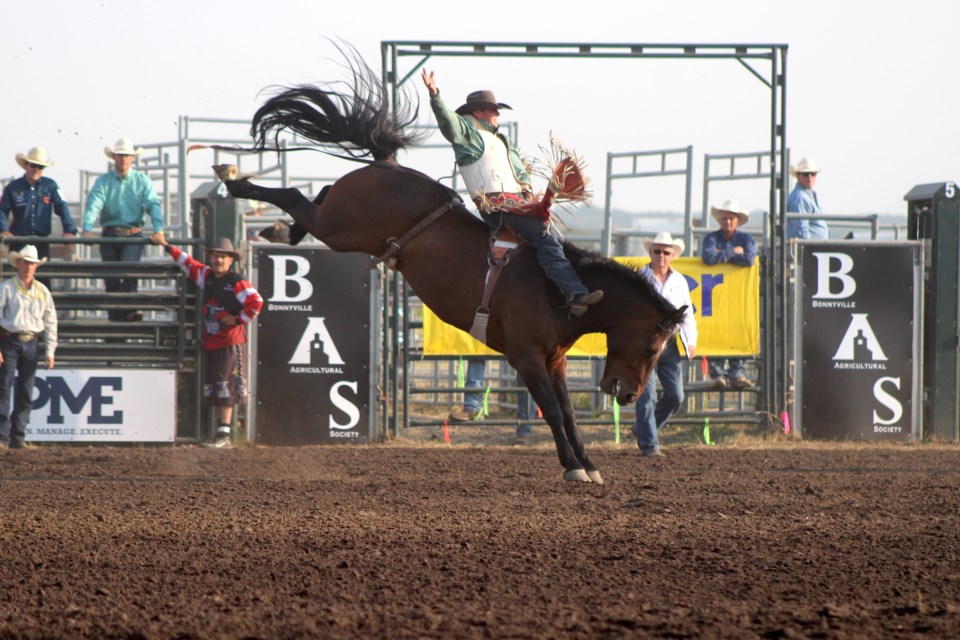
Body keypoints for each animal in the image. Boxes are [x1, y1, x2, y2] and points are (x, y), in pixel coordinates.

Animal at [216, 57, 684, 482]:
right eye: (651, 348)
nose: (628, 394)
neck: (559, 290)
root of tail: (387, 163)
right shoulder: (526, 356)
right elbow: (551, 409)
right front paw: (572, 467)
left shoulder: (556, 360)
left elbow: (568, 411)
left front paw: (588, 464)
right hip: (339, 228)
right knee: (297, 197)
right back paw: (237, 184)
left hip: (339, 222)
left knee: (314, 196)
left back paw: (277, 225)